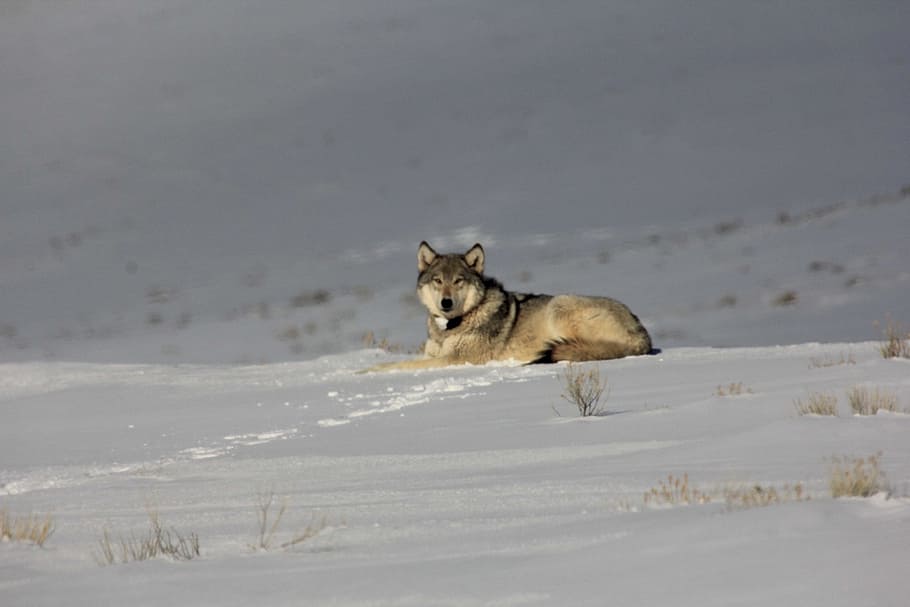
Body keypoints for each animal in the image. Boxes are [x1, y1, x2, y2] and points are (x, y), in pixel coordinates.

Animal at [364, 241, 652, 372]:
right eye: (438, 281)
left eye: (458, 281)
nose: (446, 303)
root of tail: (643, 335)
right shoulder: (433, 354)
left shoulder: (457, 359)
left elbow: (395, 366)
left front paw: (362, 372)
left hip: (559, 305)